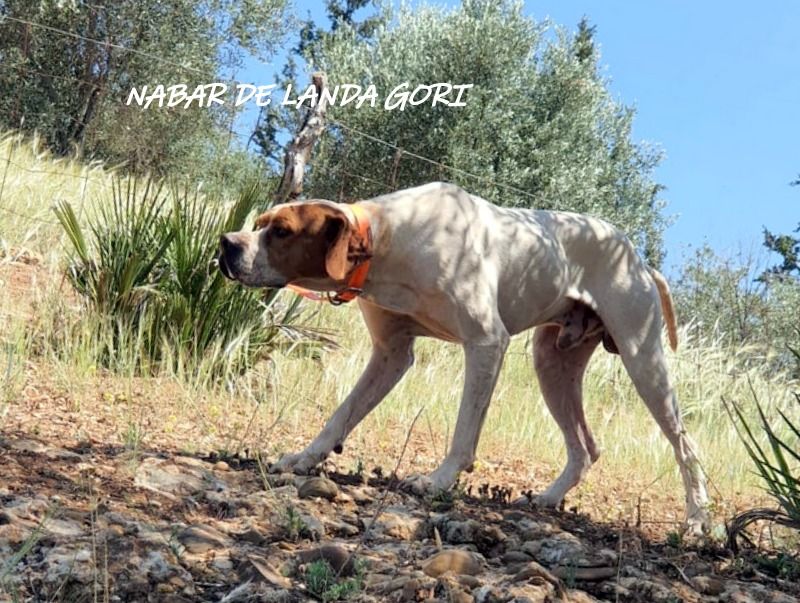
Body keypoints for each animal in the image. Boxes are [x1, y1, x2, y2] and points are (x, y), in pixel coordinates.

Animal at [216, 180, 708, 532]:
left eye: (281, 231)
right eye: (259, 221)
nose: (226, 243)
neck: (388, 238)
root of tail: (642, 261)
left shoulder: (487, 342)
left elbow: (464, 431)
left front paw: (437, 480)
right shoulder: (391, 354)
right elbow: (341, 415)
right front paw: (304, 458)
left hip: (643, 360)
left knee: (686, 448)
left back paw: (697, 521)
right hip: (553, 362)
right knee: (585, 449)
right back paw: (548, 499)